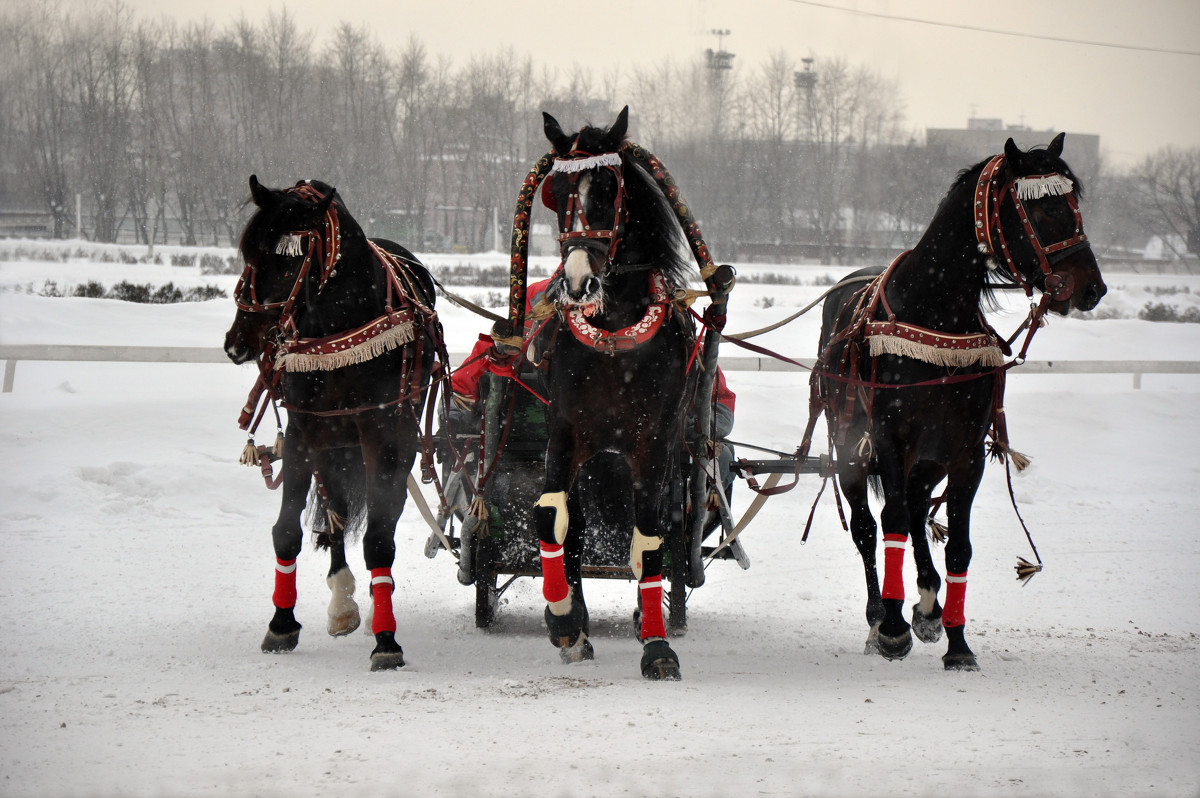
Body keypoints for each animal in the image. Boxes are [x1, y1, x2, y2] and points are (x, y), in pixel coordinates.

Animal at [222, 177, 446, 667]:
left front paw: (387, 639)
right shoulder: (305, 432)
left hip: (392, 440)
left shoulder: (383, 436)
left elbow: (380, 537)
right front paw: (281, 623)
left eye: (289, 258)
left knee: (382, 515)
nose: (236, 342)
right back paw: (342, 597)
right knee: (336, 512)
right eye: (250, 254)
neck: (339, 331)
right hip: (335, 447)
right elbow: (287, 530)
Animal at [532, 107, 700, 676]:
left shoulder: (655, 443)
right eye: (558, 193)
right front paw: (563, 620)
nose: (578, 283)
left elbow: (648, 541)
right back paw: (575, 621)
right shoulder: (564, 431)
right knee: (575, 527)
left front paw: (657, 646)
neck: (614, 340)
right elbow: (550, 517)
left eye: (608, 189)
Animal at [816, 133, 1104, 667]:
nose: (1092, 287)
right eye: (1045, 208)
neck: (934, 312)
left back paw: (927, 604)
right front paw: (892, 628)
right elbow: (889, 523)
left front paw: (957, 641)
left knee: (915, 507)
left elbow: (959, 546)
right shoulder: (889, 439)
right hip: (849, 446)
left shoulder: (965, 451)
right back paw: (878, 617)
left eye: (1074, 203)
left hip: (928, 458)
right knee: (869, 526)